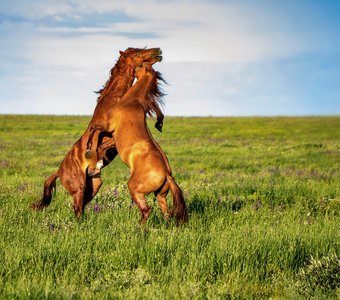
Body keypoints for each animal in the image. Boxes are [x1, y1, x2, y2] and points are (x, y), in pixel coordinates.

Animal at [29, 47, 163, 216]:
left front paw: (159, 124)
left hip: (94, 185)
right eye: (137, 53)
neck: (115, 99)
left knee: (81, 207)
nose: (158, 51)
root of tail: (59, 172)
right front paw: (90, 151)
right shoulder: (110, 132)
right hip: (78, 187)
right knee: (77, 209)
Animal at [84, 62, 187, 223]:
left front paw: (89, 150)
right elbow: (101, 147)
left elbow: (93, 129)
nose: (133, 69)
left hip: (135, 189)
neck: (133, 102)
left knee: (146, 210)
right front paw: (97, 166)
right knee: (166, 214)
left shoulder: (108, 126)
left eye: (141, 66)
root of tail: (167, 174)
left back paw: (138, 227)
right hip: (160, 195)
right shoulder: (113, 137)